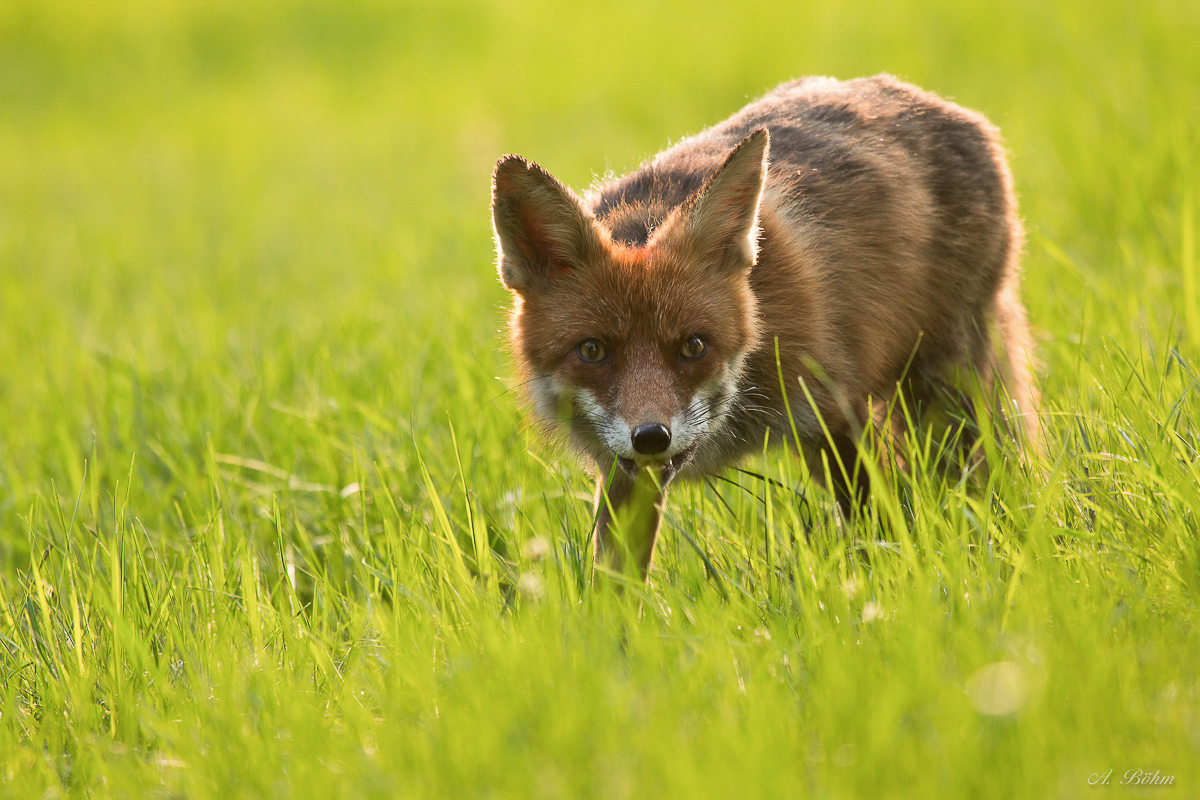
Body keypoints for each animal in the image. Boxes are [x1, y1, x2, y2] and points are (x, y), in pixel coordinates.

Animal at [492, 74, 1036, 578]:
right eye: (592, 351)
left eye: (694, 346)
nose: (651, 437)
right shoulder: (626, 476)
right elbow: (616, 588)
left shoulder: (836, 414)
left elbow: (881, 533)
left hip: (948, 398)